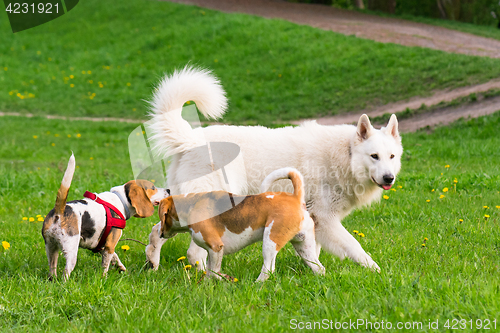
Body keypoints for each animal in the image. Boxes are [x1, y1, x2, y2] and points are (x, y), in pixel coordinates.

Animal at [145, 66, 402, 272]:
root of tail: (191, 139)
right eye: (374, 156)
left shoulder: (315, 221)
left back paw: (153, 263)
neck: (345, 154)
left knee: (158, 231)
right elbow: (355, 246)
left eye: (391, 156)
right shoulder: (326, 218)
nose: (389, 178)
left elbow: (313, 250)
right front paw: (376, 271)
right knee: (194, 251)